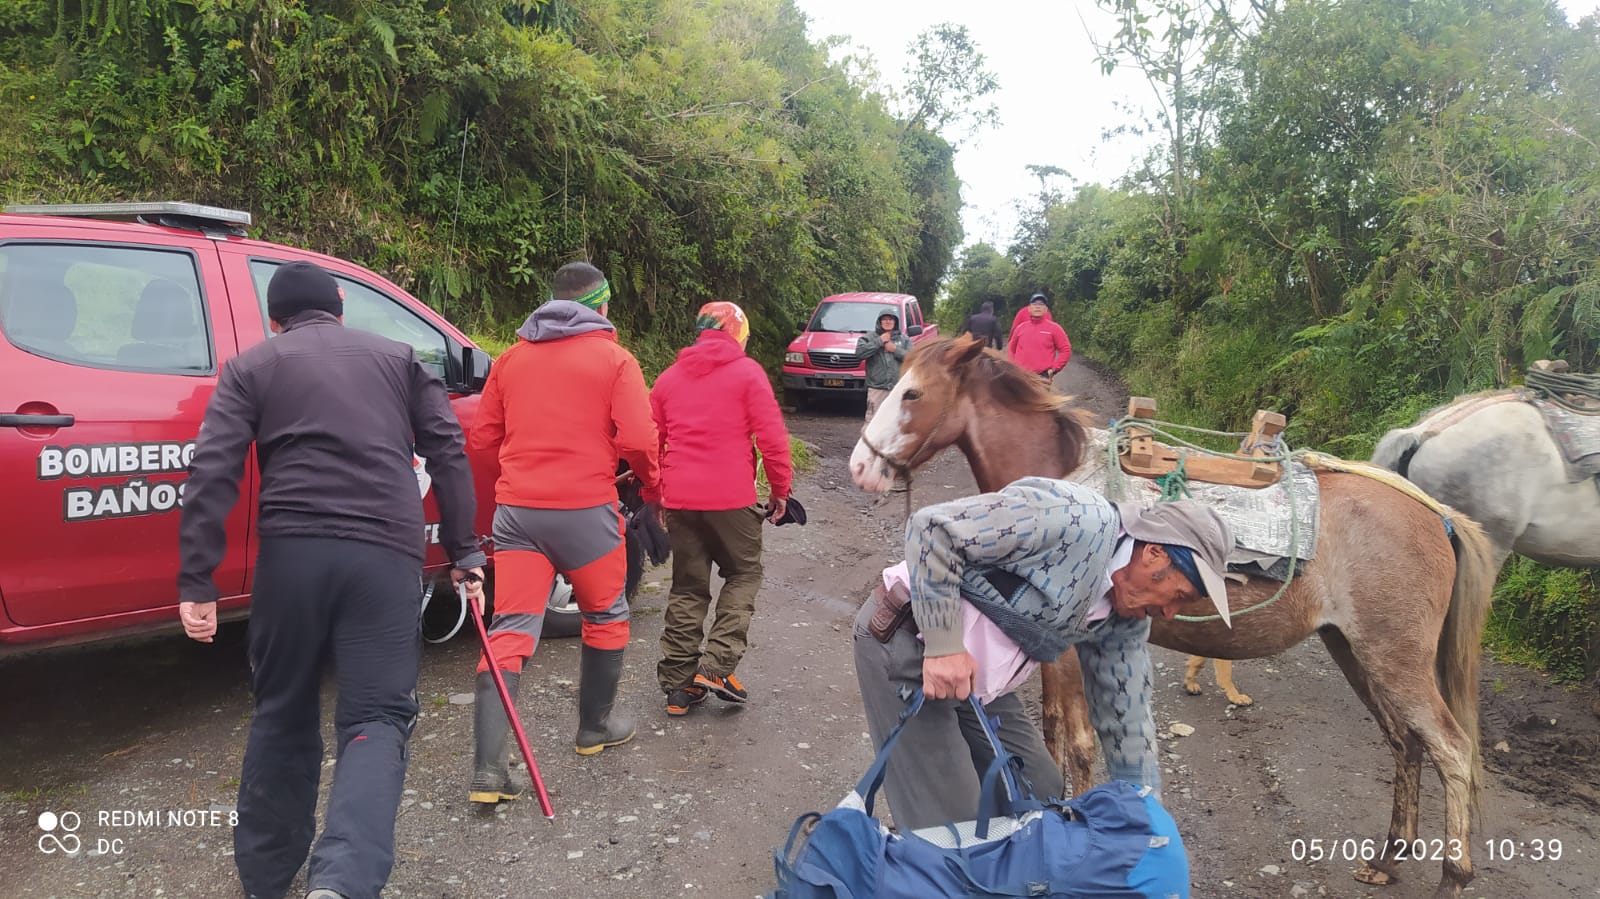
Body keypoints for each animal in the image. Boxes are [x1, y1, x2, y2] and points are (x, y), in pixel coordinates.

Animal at [851, 337, 1497, 895]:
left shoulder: (1069, 651)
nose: (862, 466)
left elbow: (1078, 744)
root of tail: (1438, 514)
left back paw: (1453, 876)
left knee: (1452, 750)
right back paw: (1387, 860)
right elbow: (1054, 731)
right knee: (1406, 744)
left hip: (1395, 660)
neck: (1066, 475)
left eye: (913, 394)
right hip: (1356, 652)